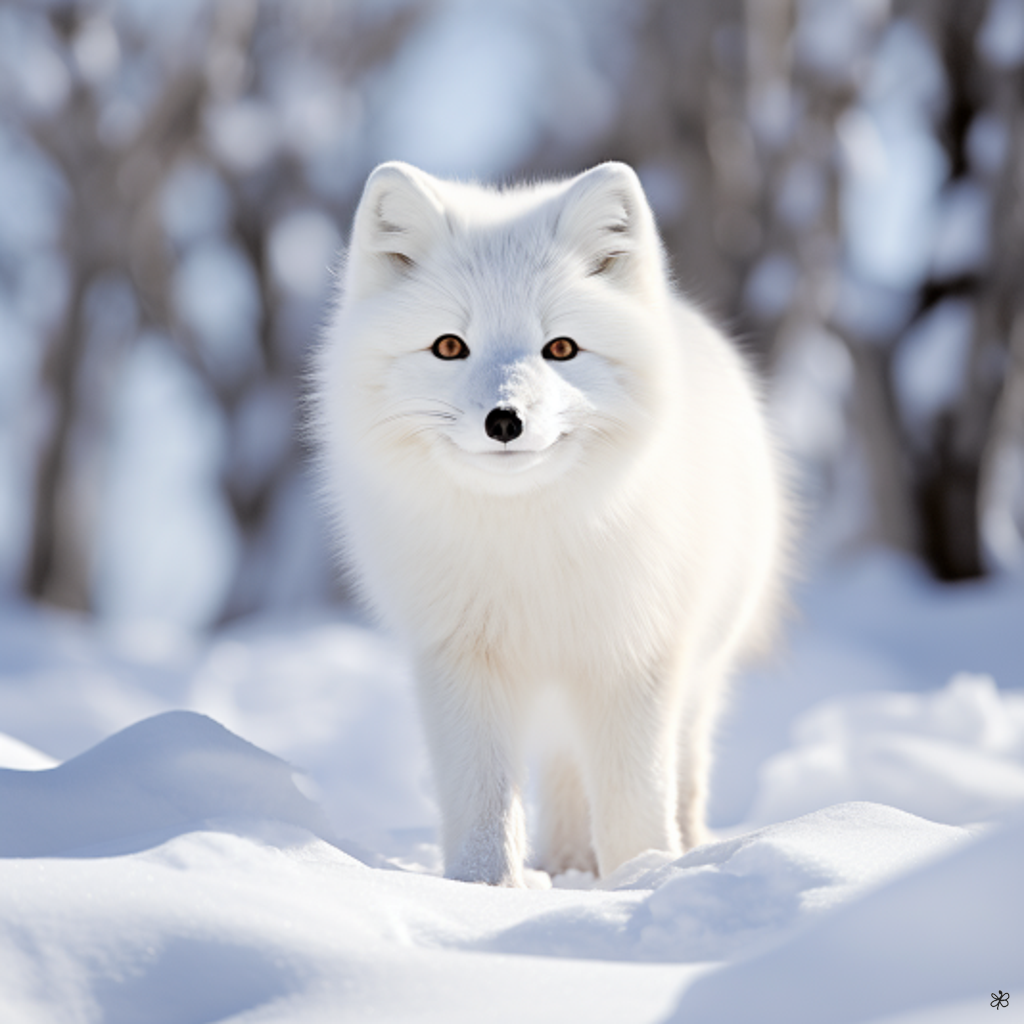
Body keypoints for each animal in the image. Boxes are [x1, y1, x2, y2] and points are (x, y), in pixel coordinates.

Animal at [314, 160, 787, 887]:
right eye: (449, 347)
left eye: (560, 348)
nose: (504, 420)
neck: (529, 542)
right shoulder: (462, 660)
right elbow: (482, 800)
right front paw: (485, 887)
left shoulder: (634, 655)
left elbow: (635, 802)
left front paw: (642, 877)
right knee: (566, 772)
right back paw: (565, 864)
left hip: (694, 667)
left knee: (678, 774)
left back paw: (673, 853)